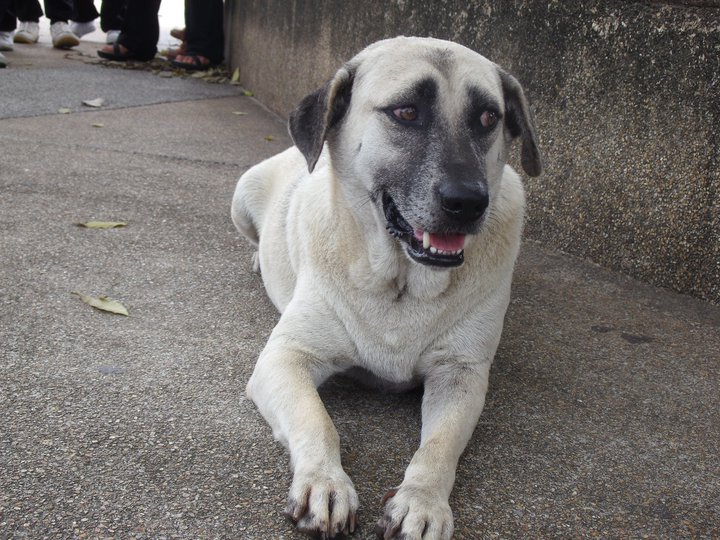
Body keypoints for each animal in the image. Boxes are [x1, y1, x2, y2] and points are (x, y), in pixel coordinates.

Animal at [231, 35, 540, 536]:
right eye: (406, 112)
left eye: (488, 118)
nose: (469, 202)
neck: (401, 283)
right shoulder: (286, 359)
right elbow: (318, 421)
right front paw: (324, 481)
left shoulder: (461, 374)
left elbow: (438, 448)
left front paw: (422, 501)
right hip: (242, 194)